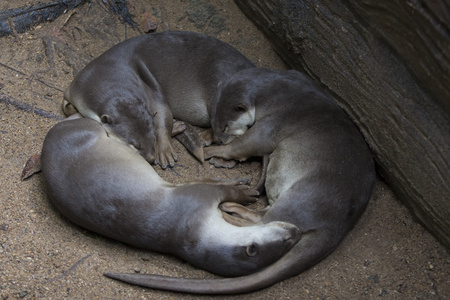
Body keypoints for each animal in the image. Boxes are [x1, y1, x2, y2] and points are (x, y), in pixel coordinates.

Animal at [40, 118, 300, 278]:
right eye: (285, 238)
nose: (297, 231)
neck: (188, 230)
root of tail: (50, 137)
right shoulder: (198, 198)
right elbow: (219, 188)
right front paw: (243, 191)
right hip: (91, 131)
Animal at [63, 31, 255, 168]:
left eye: (153, 137)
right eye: (134, 144)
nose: (150, 157)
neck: (110, 72)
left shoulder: (149, 85)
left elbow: (163, 111)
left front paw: (165, 149)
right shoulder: (73, 89)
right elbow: (66, 107)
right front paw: (177, 128)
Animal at [105, 67, 376, 292]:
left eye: (226, 126)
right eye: (213, 120)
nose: (218, 135)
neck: (282, 93)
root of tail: (339, 226)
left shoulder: (275, 121)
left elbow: (245, 145)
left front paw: (213, 151)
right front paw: (205, 137)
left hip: (305, 194)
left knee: (265, 219)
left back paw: (229, 208)